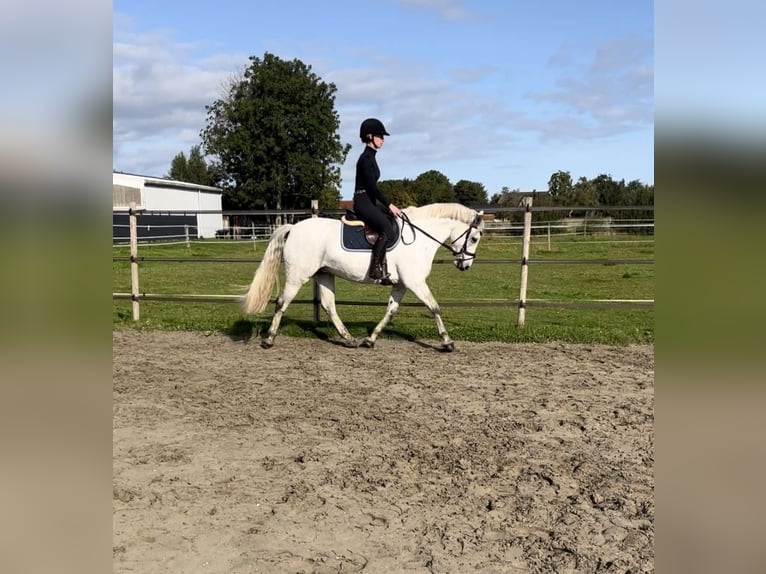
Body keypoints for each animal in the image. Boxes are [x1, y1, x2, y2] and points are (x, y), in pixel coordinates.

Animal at [244, 205, 486, 354]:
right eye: (474, 238)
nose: (465, 266)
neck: (419, 238)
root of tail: (293, 228)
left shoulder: (401, 285)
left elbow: (390, 311)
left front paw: (370, 339)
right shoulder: (415, 283)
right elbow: (435, 307)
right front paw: (448, 342)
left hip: (324, 274)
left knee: (328, 305)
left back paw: (349, 339)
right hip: (298, 275)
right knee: (281, 303)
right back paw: (269, 339)